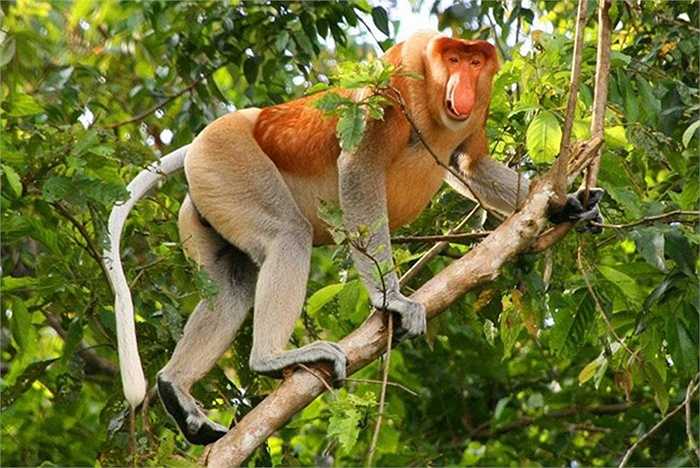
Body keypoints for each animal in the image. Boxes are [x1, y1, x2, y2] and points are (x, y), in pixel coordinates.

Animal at [103, 31, 603, 445]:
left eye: (476, 62)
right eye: (454, 58)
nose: (463, 81)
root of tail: (203, 141)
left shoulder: (478, 110)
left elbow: (470, 165)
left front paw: (568, 206)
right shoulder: (394, 84)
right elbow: (360, 171)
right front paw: (392, 299)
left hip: (207, 199)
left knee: (230, 285)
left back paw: (175, 389)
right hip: (229, 160)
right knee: (287, 236)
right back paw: (271, 358)